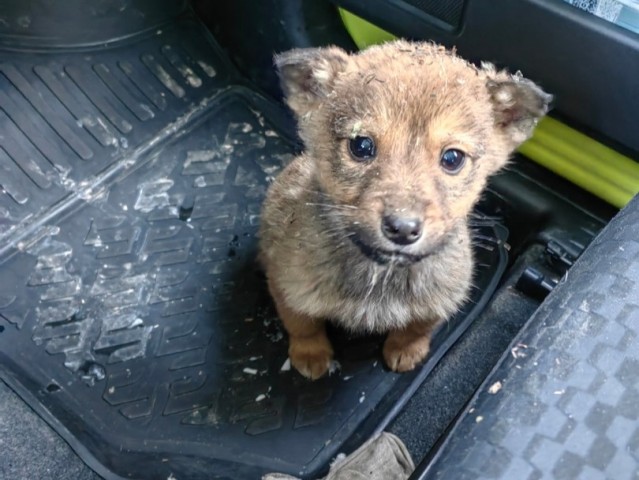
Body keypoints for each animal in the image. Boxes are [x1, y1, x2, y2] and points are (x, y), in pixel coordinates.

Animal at [258, 40, 552, 378]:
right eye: (361, 146)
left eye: (452, 158)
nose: (402, 228)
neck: (383, 273)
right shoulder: (287, 282)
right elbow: (302, 323)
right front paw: (311, 355)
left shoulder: (444, 293)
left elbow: (418, 327)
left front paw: (406, 350)